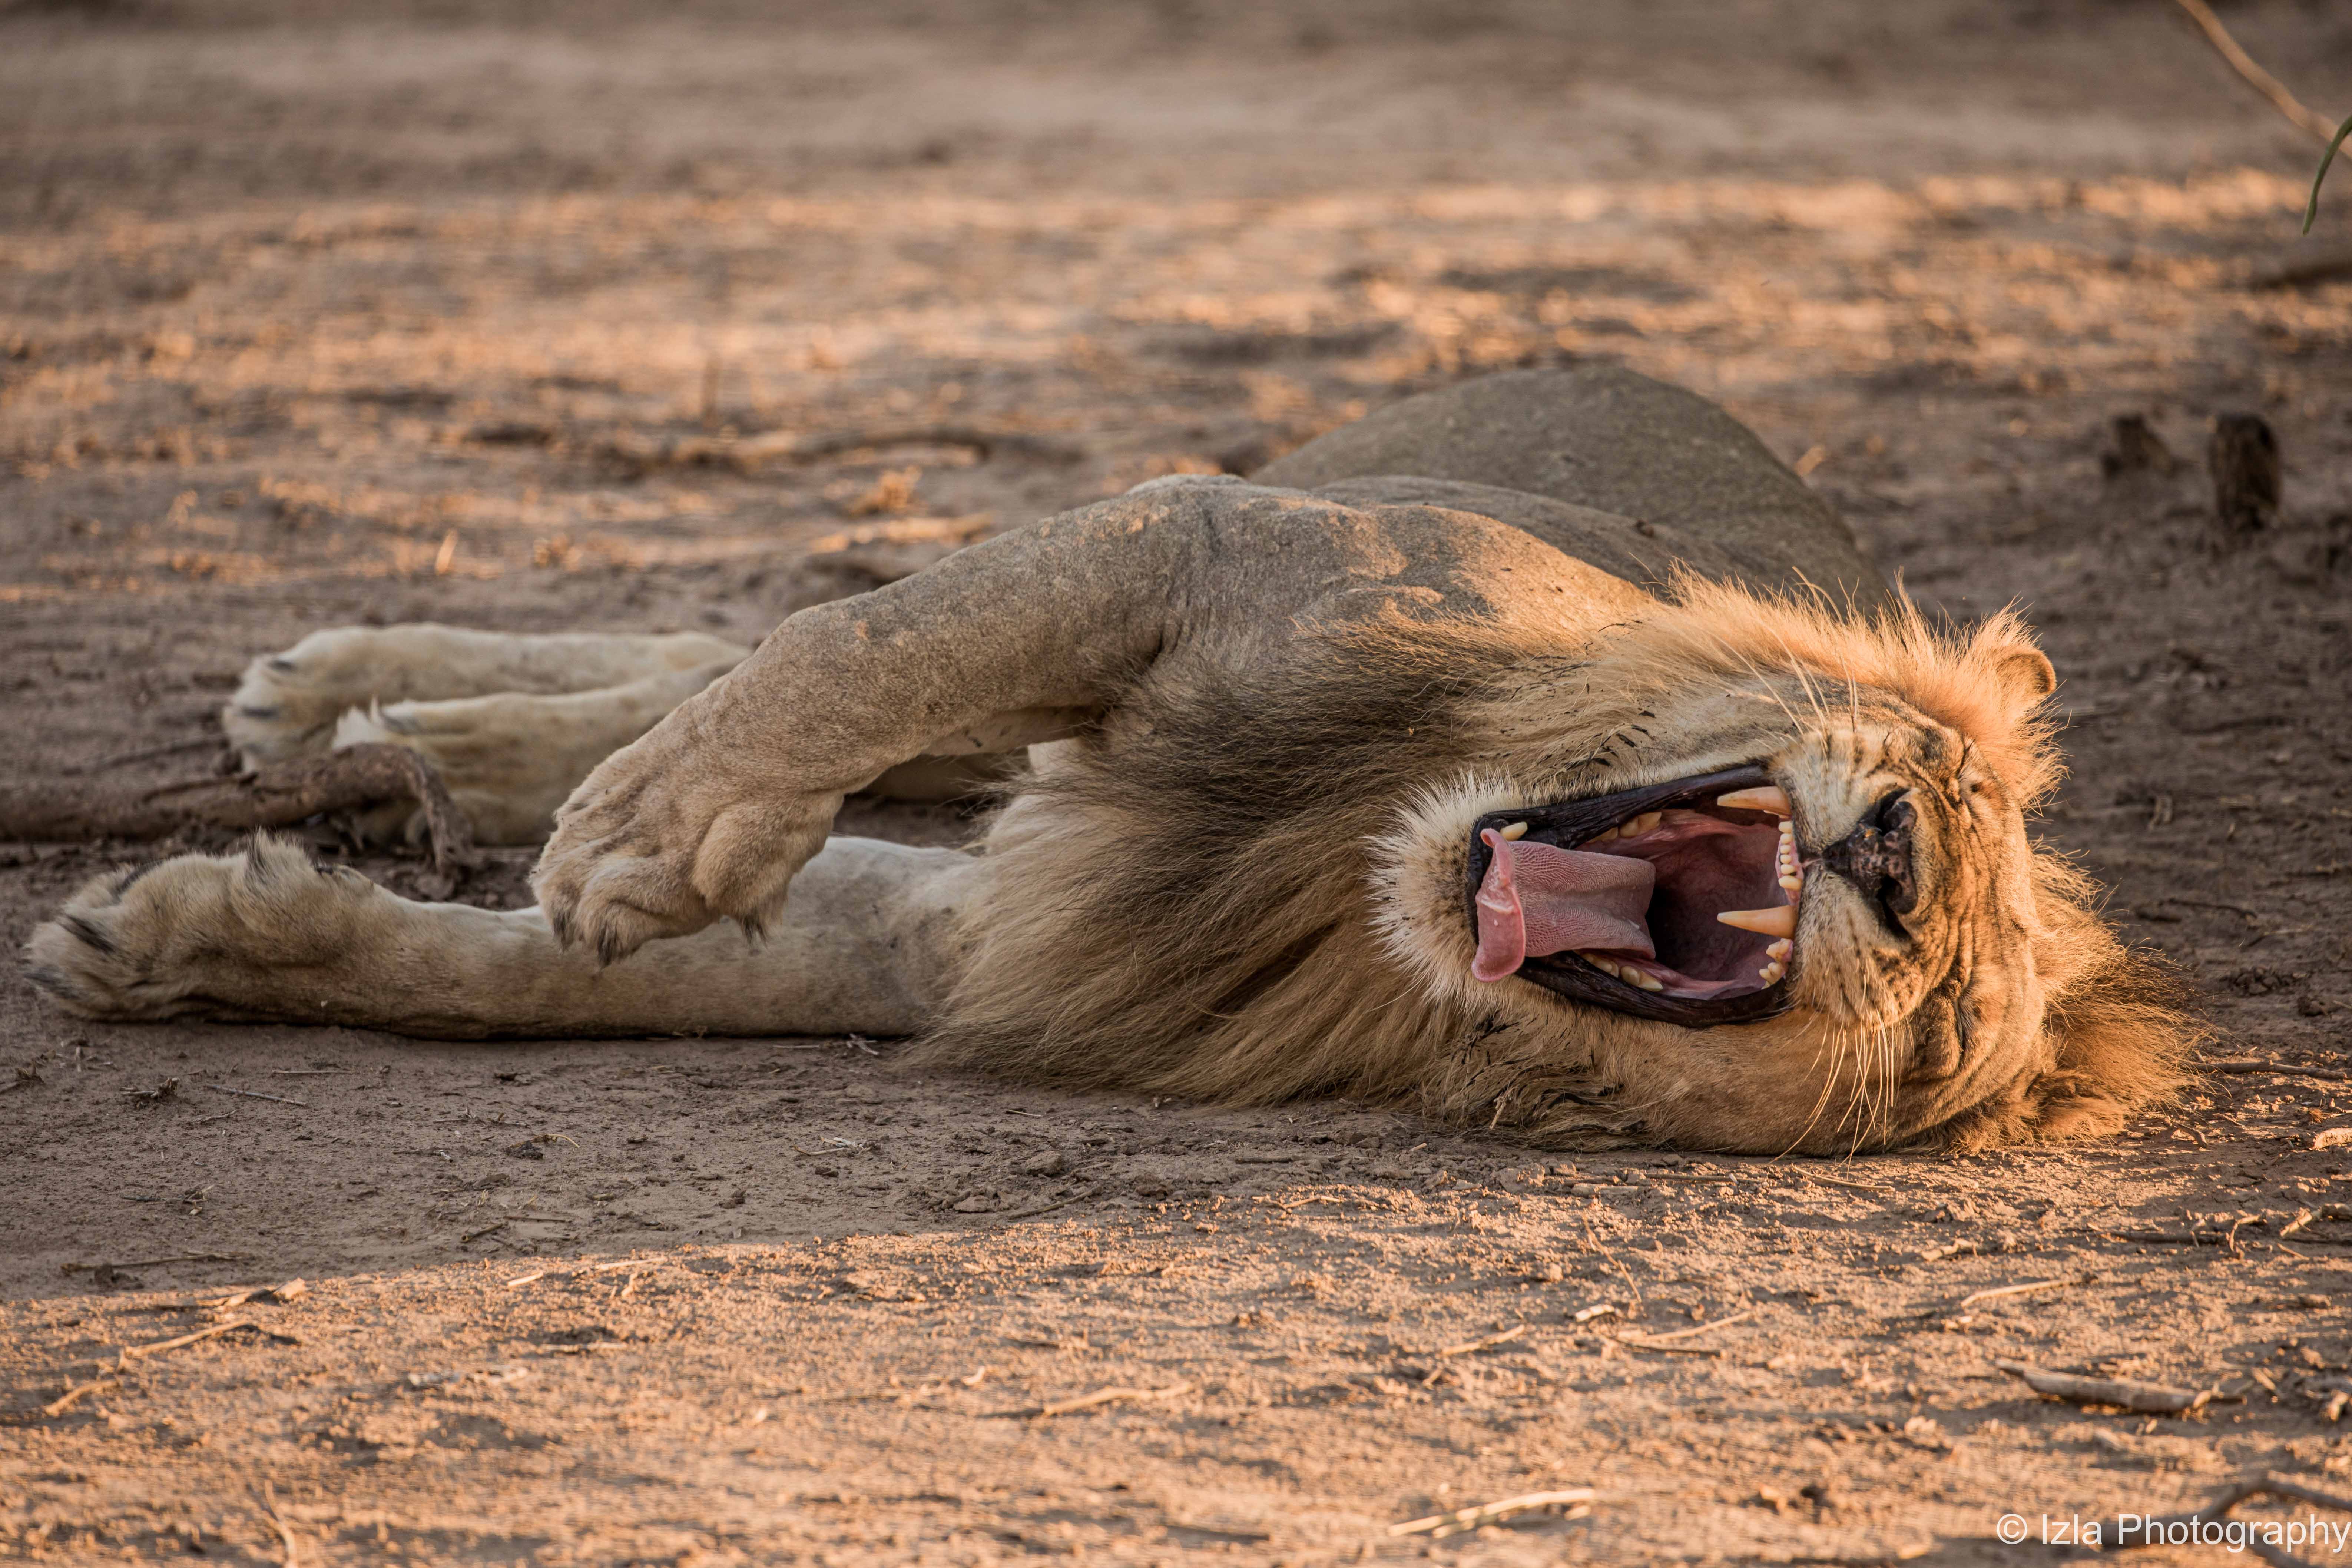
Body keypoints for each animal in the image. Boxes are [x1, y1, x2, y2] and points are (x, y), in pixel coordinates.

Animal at [22, 367, 2189, 1153]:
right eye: (1933, 785)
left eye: (1941, 1023)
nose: (1893, 862)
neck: (1355, 861)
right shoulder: (1207, 540)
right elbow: (860, 641)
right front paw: (645, 829)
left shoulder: (977, 936)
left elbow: (544, 986)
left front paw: (205, 943)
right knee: (728, 638)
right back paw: (367, 710)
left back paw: (408, 758)